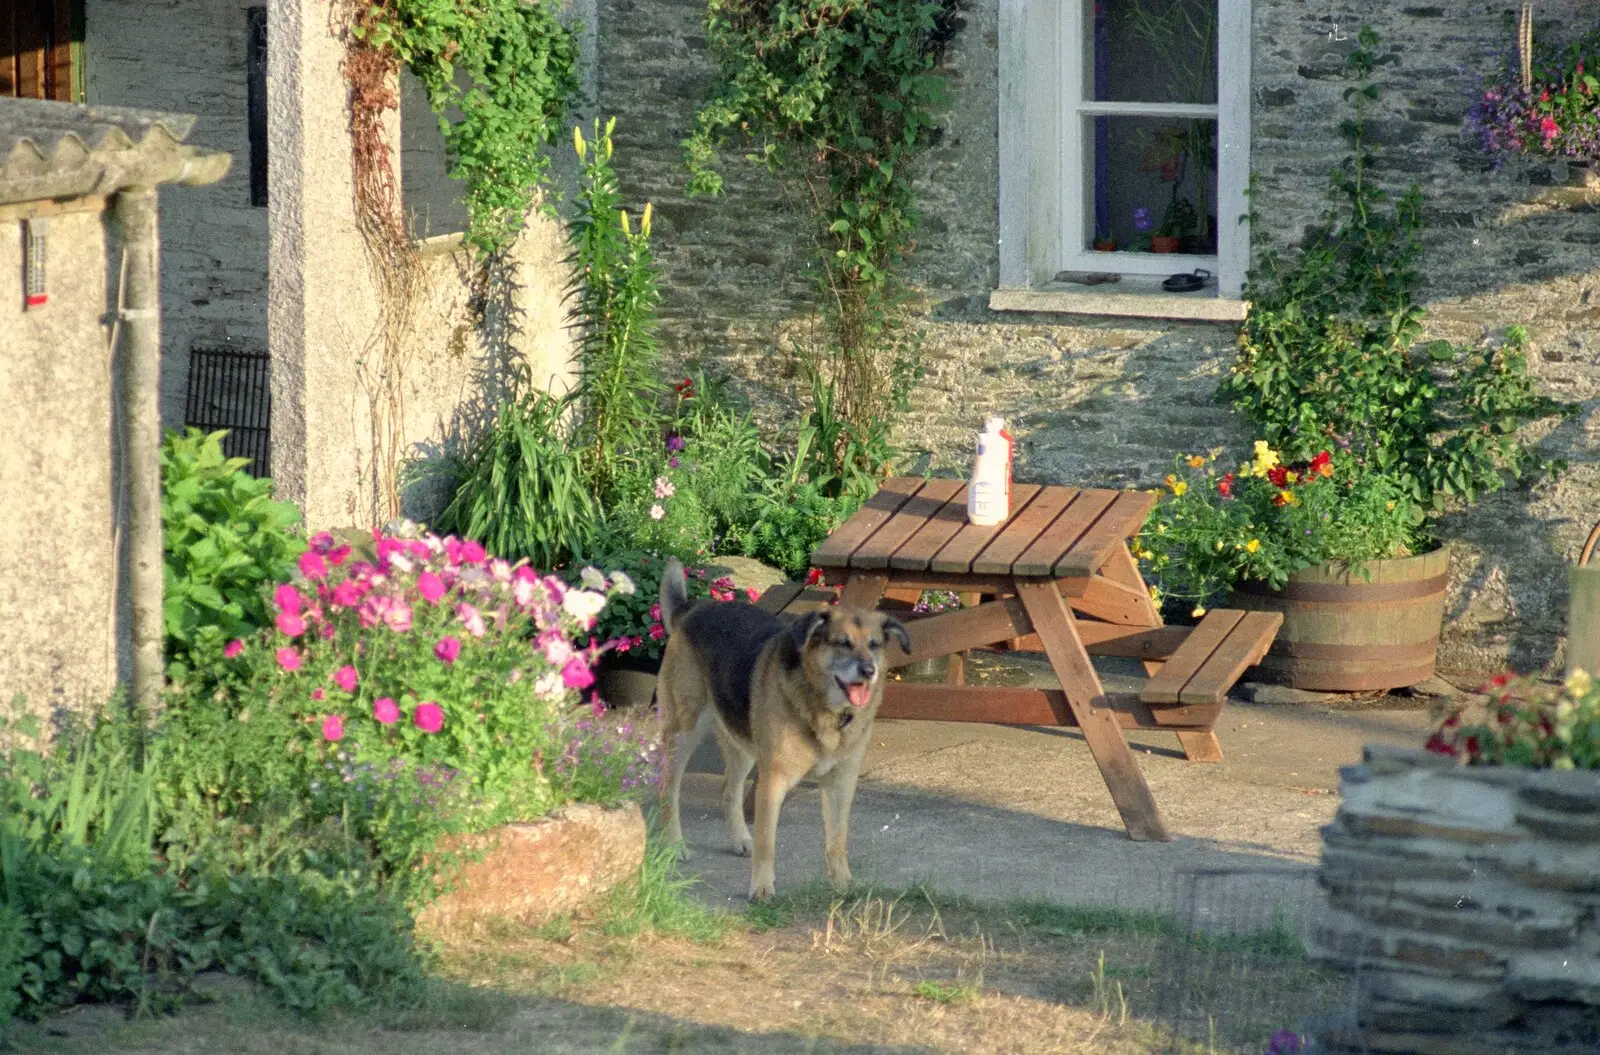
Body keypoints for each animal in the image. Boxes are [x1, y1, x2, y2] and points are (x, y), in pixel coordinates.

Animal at [659, 560, 915, 902]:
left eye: (874, 645)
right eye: (843, 643)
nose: (868, 671)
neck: (826, 710)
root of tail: (691, 609)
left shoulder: (841, 783)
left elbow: (837, 840)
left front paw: (842, 883)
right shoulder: (774, 781)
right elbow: (767, 842)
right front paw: (762, 887)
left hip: (742, 743)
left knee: (728, 792)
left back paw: (740, 839)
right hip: (685, 731)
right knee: (669, 790)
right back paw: (673, 844)